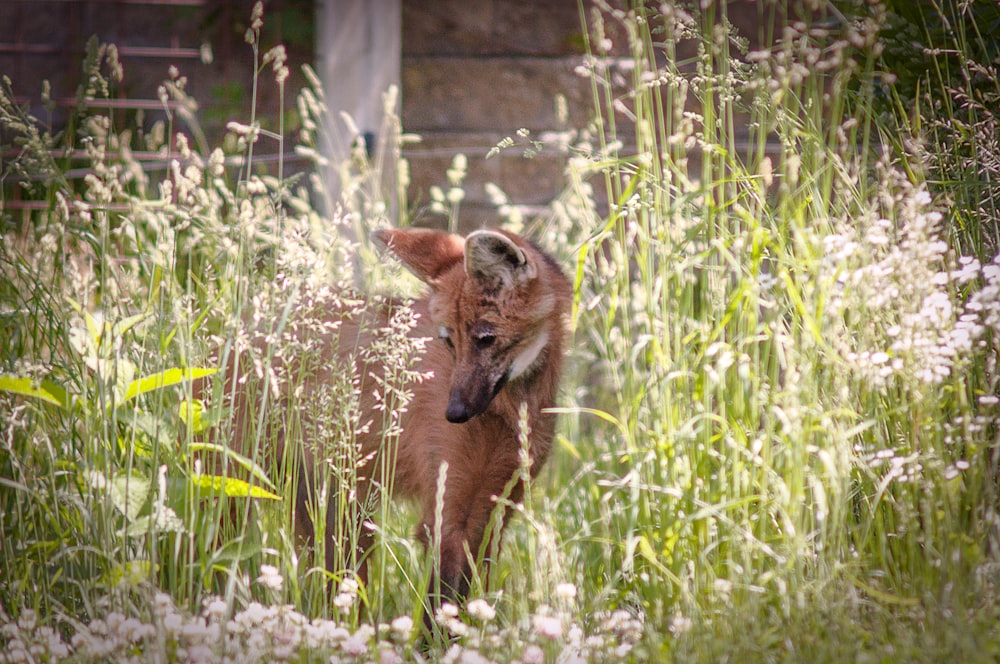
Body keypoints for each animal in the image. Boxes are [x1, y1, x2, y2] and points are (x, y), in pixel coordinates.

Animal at [216, 227, 572, 624]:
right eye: (449, 340)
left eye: (485, 338)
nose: (455, 412)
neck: (510, 408)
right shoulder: (448, 510)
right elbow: (442, 607)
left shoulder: (496, 506)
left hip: (338, 504)